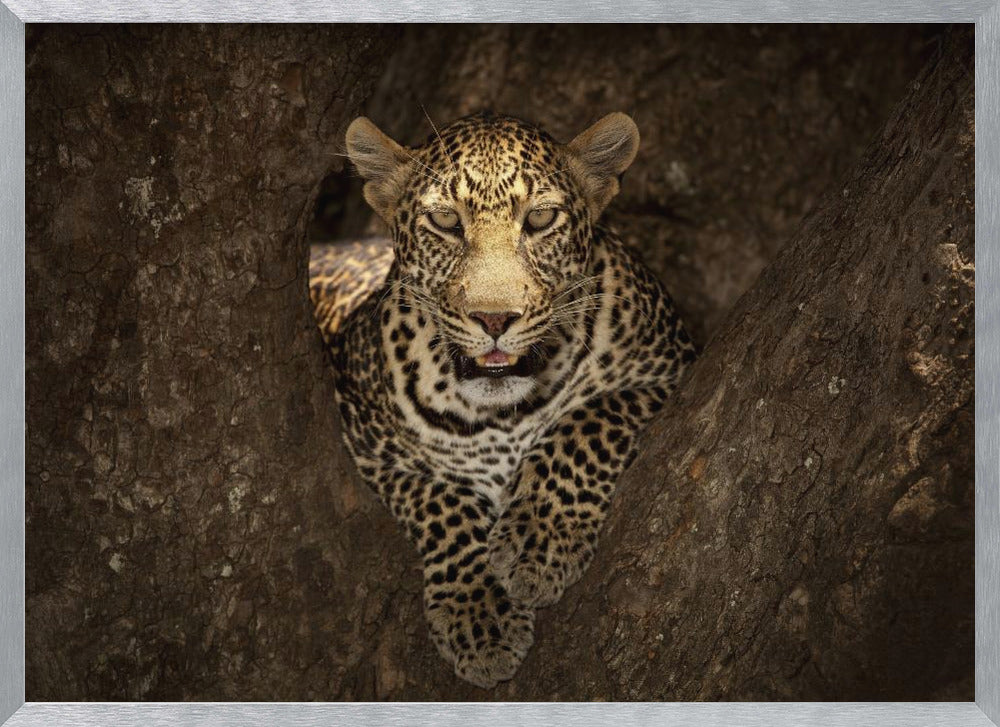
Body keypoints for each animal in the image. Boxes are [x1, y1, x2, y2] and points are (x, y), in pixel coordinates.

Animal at [306, 109, 696, 688]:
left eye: (540, 220)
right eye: (446, 222)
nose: (494, 319)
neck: (501, 415)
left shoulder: (670, 368)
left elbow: (587, 421)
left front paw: (540, 540)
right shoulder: (366, 440)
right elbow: (439, 500)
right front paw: (479, 615)